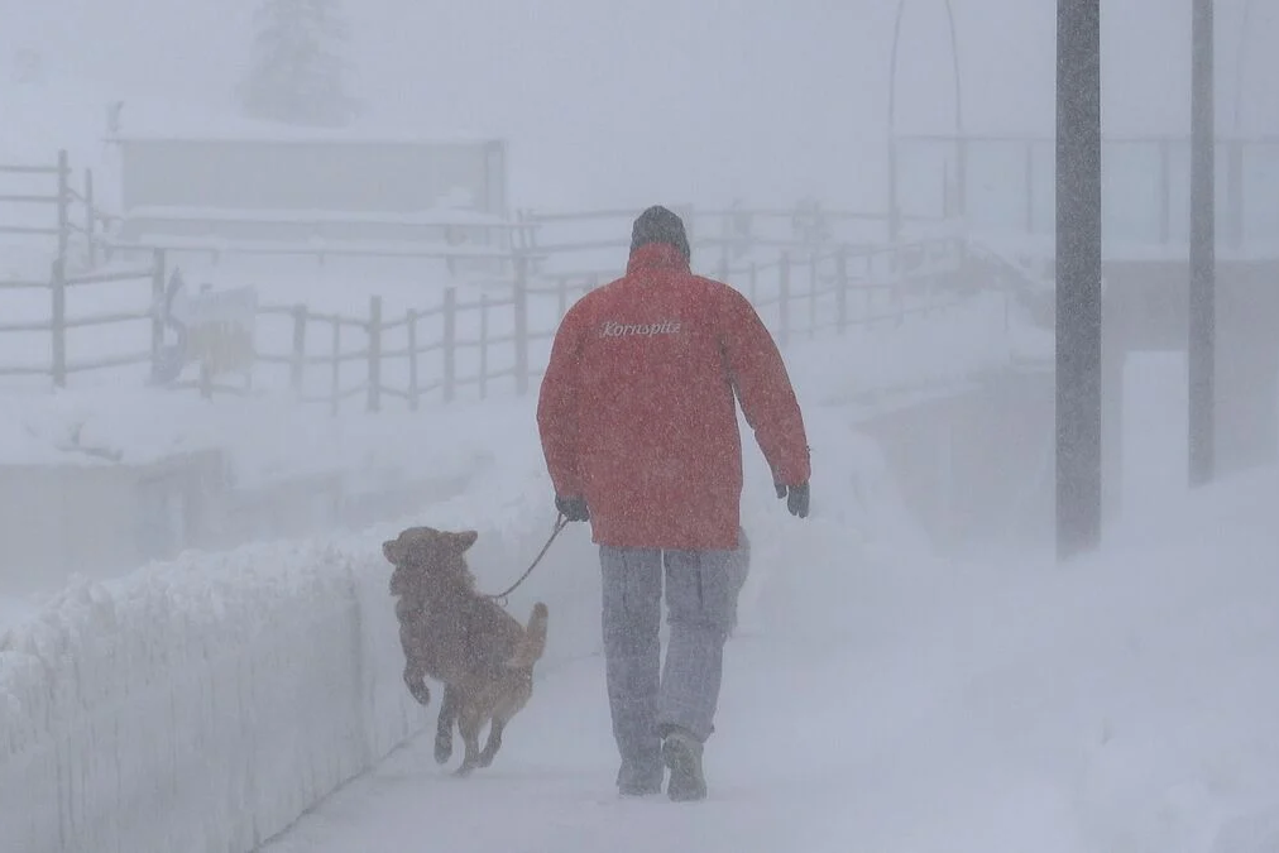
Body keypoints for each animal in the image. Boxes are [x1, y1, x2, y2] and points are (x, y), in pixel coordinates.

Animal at [383, 524, 555, 777]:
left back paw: (459, 773)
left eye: (401, 538)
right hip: (502, 709)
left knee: (472, 749)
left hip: (470, 709)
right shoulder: (447, 679)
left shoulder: (439, 668)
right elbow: (440, 709)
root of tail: (522, 662)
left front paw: (423, 698)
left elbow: (413, 678)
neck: (437, 588)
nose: (384, 544)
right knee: (494, 741)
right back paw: (481, 760)